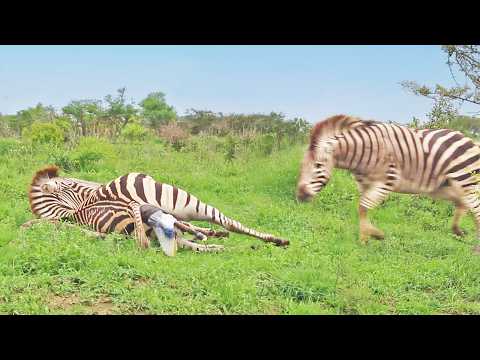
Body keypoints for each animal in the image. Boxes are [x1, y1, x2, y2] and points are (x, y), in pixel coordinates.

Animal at [27, 166, 288, 256]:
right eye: (70, 184)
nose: (98, 185)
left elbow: (188, 230)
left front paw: (206, 235)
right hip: (189, 203)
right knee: (229, 223)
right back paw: (277, 241)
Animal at [296, 115, 480, 250]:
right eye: (302, 165)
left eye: (318, 166)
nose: (300, 197)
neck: (362, 152)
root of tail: (471, 140)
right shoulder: (364, 184)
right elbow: (362, 209)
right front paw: (366, 238)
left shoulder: (386, 181)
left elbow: (363, 206)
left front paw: (373, 236)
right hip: (448, 187)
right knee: (464, 206)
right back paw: (458, 231)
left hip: (464, 180)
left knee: (475, 209)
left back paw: (475, 248)